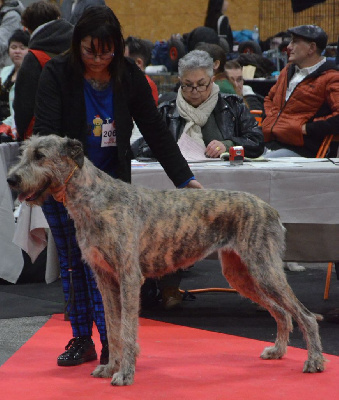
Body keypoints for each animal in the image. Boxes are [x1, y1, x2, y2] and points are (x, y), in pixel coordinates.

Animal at [6, 136, 326, 386]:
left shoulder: (129, 277)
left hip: (264, 269)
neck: (95, 200)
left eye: (40, 155)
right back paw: (277, 351)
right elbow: (112, 327)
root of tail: (269, 208)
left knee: (305, 315)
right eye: (23, 152)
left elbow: (127, 329)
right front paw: (110, 367)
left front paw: (125, 374)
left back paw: (314, 361)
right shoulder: (104, 278)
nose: (11, 179)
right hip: (241, 274)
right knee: (282, 312)